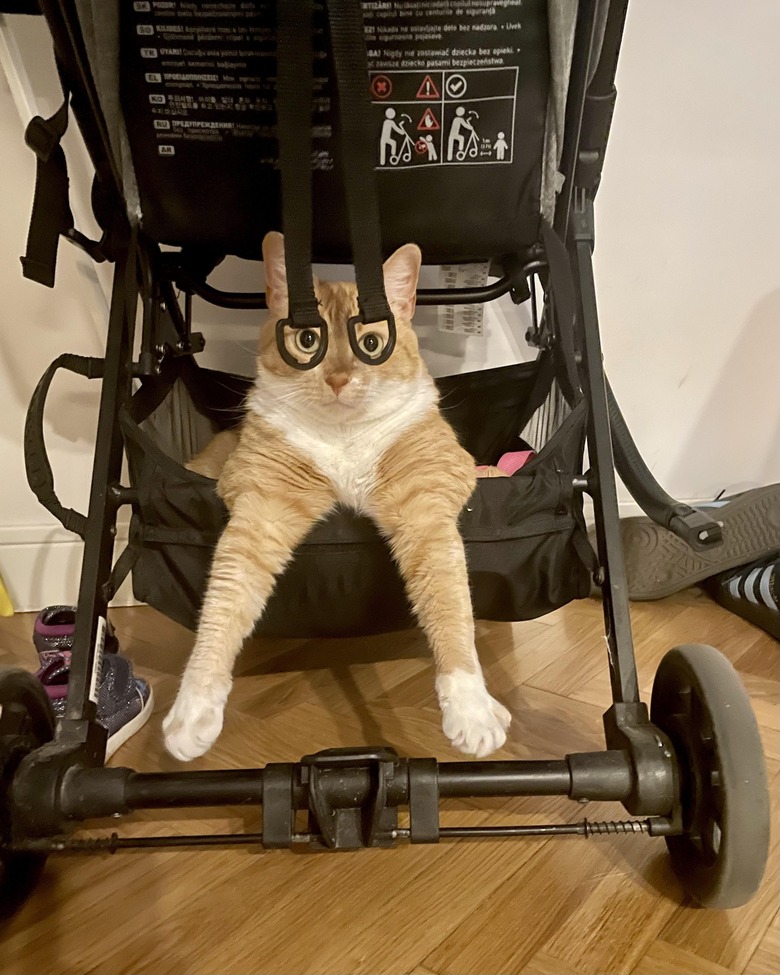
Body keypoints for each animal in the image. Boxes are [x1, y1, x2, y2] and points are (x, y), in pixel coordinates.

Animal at [163, 234, 512, 764]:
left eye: (371, 345)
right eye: (309, 341)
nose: (339, 378)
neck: (344, 437)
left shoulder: (424, 507)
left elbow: (451, 604)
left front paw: (471, 708)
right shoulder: (261, 508)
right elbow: (224, 604)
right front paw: (193, 709)